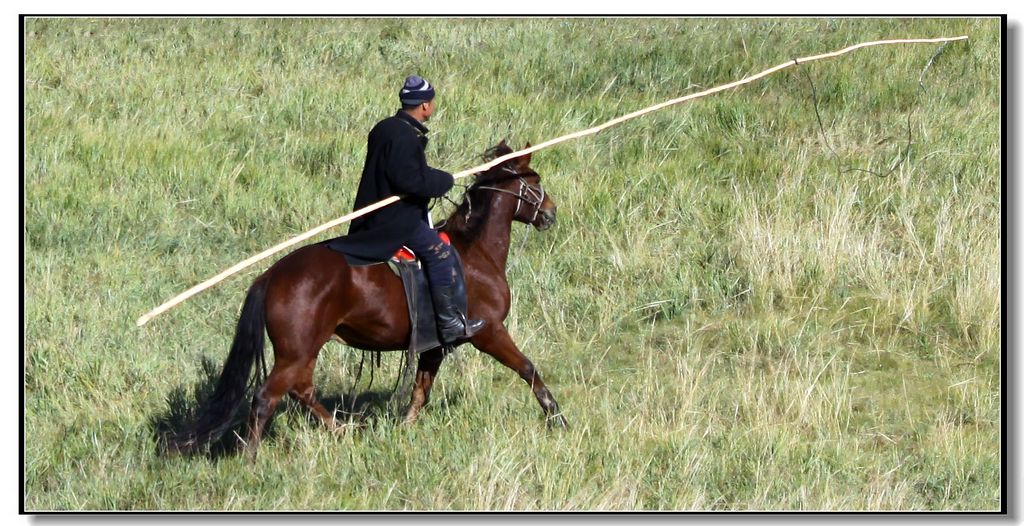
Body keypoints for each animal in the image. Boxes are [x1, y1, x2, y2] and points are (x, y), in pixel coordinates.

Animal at [167, 140, 569, 454]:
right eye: (535, 182)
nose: (550, 213)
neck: (474, 253)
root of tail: (272, 275)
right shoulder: (489, 332)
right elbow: (528, 369)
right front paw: (557, 416)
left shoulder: (435, 345)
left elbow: (420, 391)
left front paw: (406, 429)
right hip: (296, 351)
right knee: (268, 396)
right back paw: (252, 457)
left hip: (303, 350)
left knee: (301, 390)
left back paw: (341, 430)